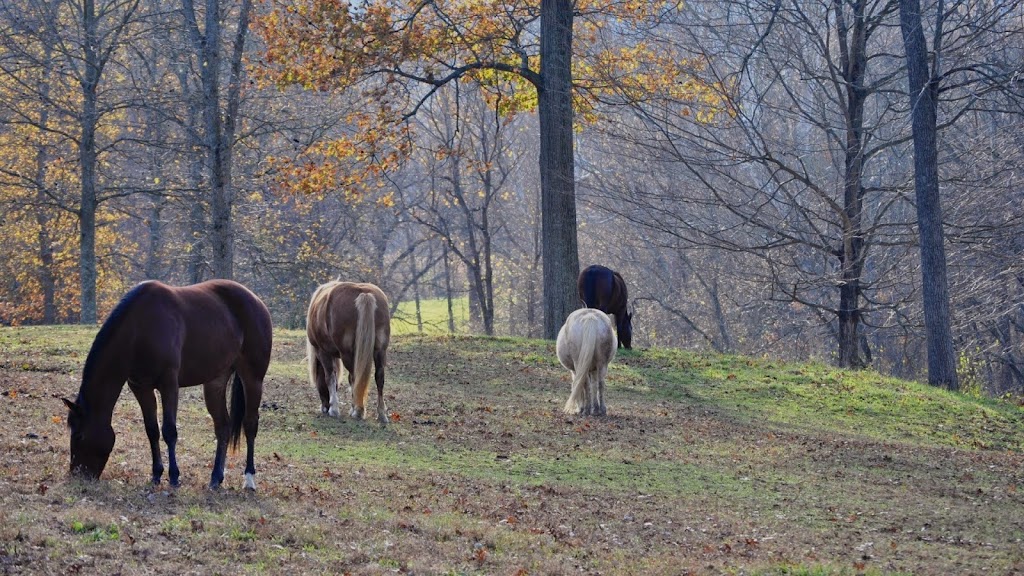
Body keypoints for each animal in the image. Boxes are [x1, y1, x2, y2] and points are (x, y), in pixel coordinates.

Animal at [62, 278, 272, 487]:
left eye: (79, 436)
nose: (77, 475)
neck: (139, 330)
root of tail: (256, 301)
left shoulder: (169, 384)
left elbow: (169, 431)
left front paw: (174, 476)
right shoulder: (141, 388)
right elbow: (152, 430)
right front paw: (156, 474)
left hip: (252, 378)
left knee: (250, 424)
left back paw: (249, 479)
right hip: (215, 382)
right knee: (223, 427)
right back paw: (215, 478)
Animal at [303, 280, 391, 422]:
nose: (324, 407)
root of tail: (364, 294)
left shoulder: (323, 352)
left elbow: (330, 377)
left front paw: (334, 409)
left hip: (347, 354)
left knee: (355, 377)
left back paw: (358, 411)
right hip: (380, 351)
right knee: (379, 377)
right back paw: (381, 413)